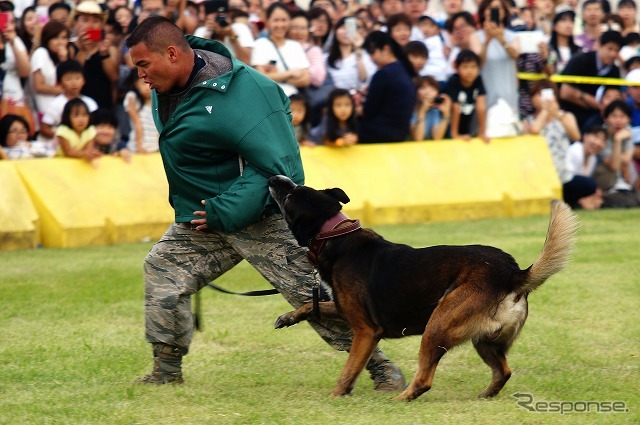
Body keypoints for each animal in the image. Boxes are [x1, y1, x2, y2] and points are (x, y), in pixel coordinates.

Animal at [268, 174, 576, 400]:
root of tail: (512, 273)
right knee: (504, 372)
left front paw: (336, 396)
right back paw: (485, 395)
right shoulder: (344, 309)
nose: (274, 176)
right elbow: (310, 305)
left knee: (426, 379)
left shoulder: (366, 331)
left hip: (436, 326)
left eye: (291, 195)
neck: (334, 234)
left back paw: (400, 400)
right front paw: (288, 317)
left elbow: (348, 371)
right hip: (484, 341)